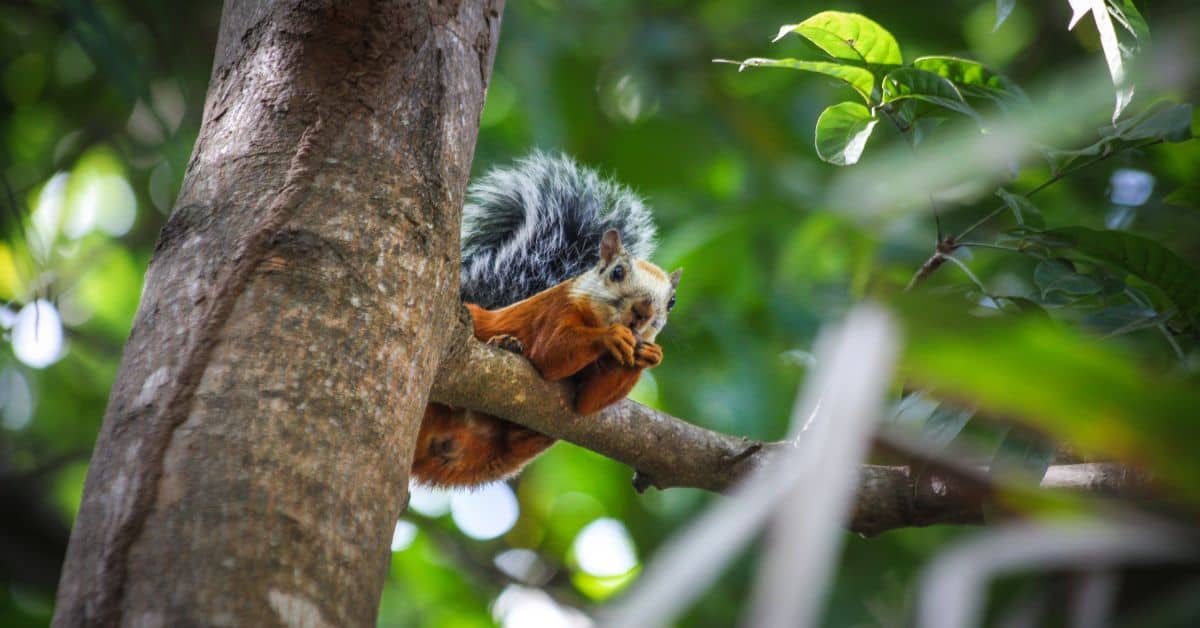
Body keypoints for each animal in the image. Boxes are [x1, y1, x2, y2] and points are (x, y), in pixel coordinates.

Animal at [411, 152, 681, 487]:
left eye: (671, 302)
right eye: (617, 272)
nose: (643, 311)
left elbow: (588, 402)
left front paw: (649, 354)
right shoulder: (555, 309)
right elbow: (550, 353)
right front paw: (610, 336)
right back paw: (505, 344)